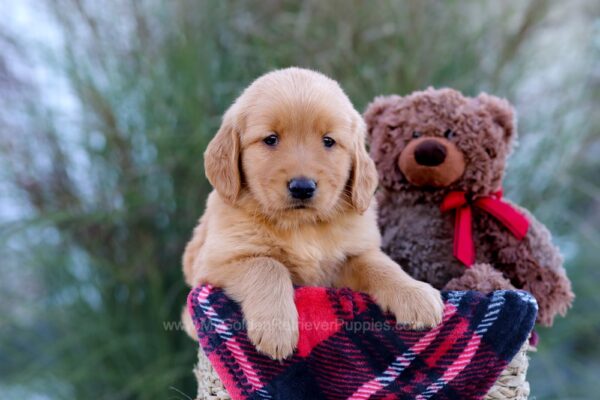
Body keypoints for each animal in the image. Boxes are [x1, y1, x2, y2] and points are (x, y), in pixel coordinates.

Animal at [184, 68, 446, 360]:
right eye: (271, 139)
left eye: (328, 141)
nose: (302, 187)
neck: (302, 226)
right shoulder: (214, 263)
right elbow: (267, 265)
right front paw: (276, 328)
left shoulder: (349, 258)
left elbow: (379, 264)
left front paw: (414, 293)